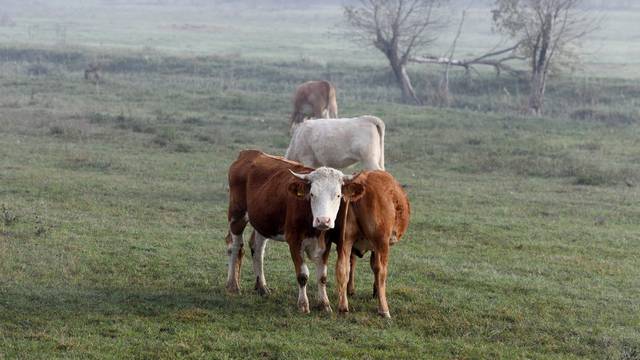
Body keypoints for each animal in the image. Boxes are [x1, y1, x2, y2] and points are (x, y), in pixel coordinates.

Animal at [225, 149, 360, 312]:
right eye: (312, 194)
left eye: (338, 195)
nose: (323, 220)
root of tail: (248, 153)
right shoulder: (294, 241)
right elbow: (303, 275)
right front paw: (303, 305)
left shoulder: (326, 243)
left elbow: (322, 276)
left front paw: (324, 304)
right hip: (236, 216)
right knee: (235, 246)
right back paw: (233, 285)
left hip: (262, 222)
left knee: (257, 250)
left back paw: (262, 287)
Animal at [324, 170, 410, 316]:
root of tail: (361, 179)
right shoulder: (377, 246)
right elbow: (375, 267)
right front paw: (376, 291)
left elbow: (352, 263)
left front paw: (350, 290)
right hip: (382, 242)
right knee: (381, 271)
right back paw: (384, 309)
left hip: (345, 240)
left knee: (342, 267)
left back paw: (343, 307)